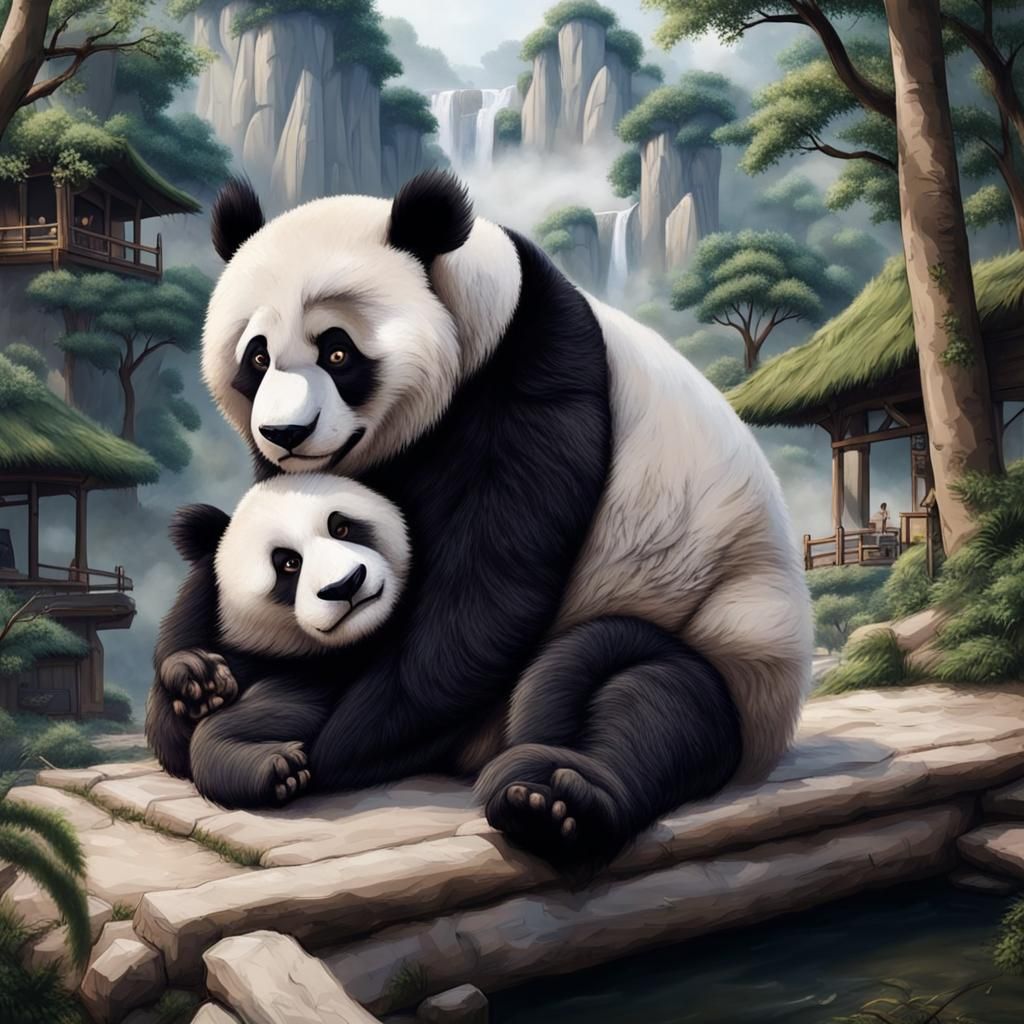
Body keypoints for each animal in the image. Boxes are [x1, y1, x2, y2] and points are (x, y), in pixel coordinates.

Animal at [146, 473, 410, 808]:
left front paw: (279, 767)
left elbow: (283, 707)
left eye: (341, 528)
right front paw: (202, 683)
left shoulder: (325, 671)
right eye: (288, 563)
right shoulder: (205, 602)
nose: (346, 584)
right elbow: (167, 723)